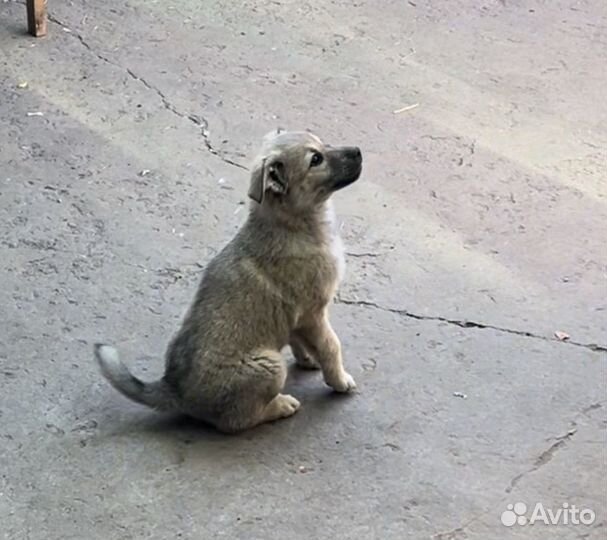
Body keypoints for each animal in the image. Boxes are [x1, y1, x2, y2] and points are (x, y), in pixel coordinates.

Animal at [94, 129, 360, 432]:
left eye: (322, 142)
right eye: (315, 159)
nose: (359, 151)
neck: (293, 223)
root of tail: (173, 389)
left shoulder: (296, 316)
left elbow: (299, 340)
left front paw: (307, 359)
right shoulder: (314, 312)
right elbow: (331, 346)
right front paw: (340, 380)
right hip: (270, 365)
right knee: (238, 420)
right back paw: (281, 405)